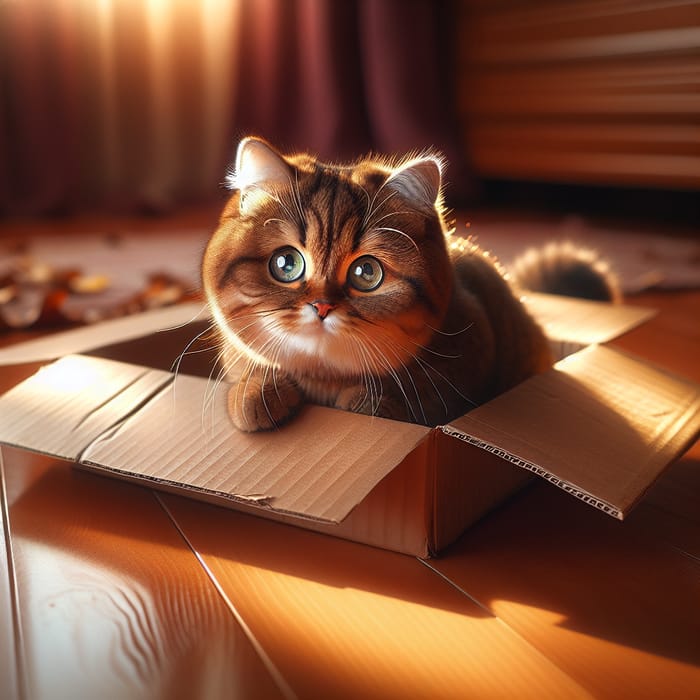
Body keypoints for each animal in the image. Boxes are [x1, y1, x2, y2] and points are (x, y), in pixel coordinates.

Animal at [202, 135, 616, 432]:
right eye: (286, 264)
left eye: (366, 273)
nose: (322, 306)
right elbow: (252, 368)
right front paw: (255, 390)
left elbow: (419, 397)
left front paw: (369, 401)